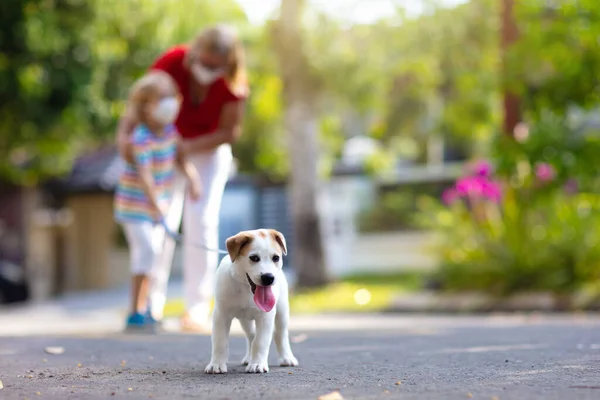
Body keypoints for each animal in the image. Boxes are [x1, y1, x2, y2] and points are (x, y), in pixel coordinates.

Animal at [205, 230, 298, 374]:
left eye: (276, 258)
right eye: (254, 258)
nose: (268, 277)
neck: (246, 288)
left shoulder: (265, 317)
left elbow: (260, 341)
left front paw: (257, 364)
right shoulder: (221, 315)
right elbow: (220, 341)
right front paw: (217, 364)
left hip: (282, 312)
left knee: (280, 334)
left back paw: (287, 357)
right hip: (245, 321)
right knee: (251, 335)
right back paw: (249, 358)